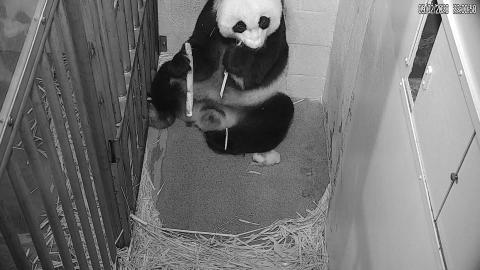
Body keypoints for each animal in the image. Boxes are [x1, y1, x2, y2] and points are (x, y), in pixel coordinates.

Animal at [150, 0, 292, 155]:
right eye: (240, 25)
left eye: (264, 21)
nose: (255, 44)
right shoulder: (211, 15)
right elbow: (201, 50)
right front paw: (184, 60)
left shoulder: (277, 32)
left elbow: (257, 72)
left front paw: (236, 59)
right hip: (184, 85)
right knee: (165, 77)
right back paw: (162, 117)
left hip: (260, 100)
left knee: (274, 118)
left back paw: (218, 139)